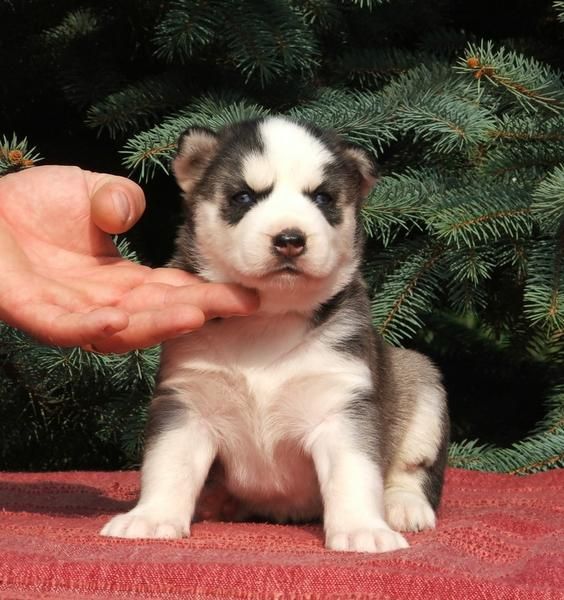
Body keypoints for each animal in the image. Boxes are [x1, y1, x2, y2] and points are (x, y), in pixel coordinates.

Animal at [101, 117, 448, 552]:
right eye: (244, 196)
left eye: (322, 198)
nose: (290, 240)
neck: (267, 319)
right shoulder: (187, 403)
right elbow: (168, 465)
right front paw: (151, 517)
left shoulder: (343, 406)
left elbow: (354, 474)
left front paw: (362, 529)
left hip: (421, 382)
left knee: (411, 469)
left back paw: (403, 506)